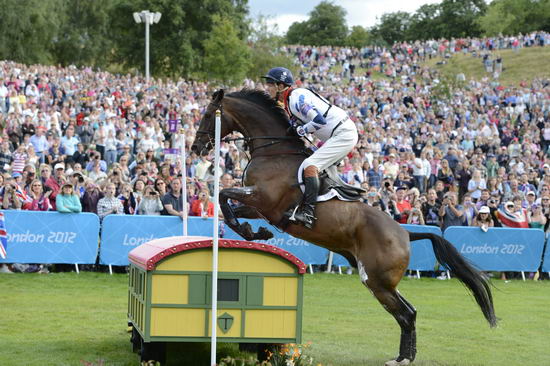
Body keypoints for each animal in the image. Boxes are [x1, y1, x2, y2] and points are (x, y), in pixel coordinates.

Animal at [192, 88, 498, 366]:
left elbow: (224, 197)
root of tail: (405, 232)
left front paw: (251, 231)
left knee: (406, 314)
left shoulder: (263, 200)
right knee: (408, 312)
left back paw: (404, 358)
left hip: (377, 281)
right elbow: (227, 208)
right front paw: (256, 233)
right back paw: (403, 356)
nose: (196, 148)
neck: (274, 151)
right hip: (381, 281)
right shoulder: (259, 207)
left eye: (207, 114)